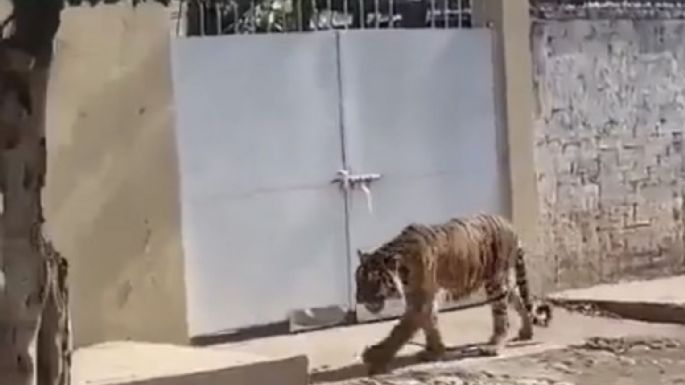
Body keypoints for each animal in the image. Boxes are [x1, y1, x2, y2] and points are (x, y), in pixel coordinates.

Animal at [356, 212, 552, 374]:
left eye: (372, 282)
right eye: (358, 279)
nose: (358, 299)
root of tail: (510, 224)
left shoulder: (421, 300)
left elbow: (400, 331)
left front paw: (374, 356)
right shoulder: (422, 299)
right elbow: (429, 324)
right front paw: (435, 351)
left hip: (495, 283)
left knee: (502, 318)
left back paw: (493, 347)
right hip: (504, 284)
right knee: (520, 301)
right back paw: (526, 332)